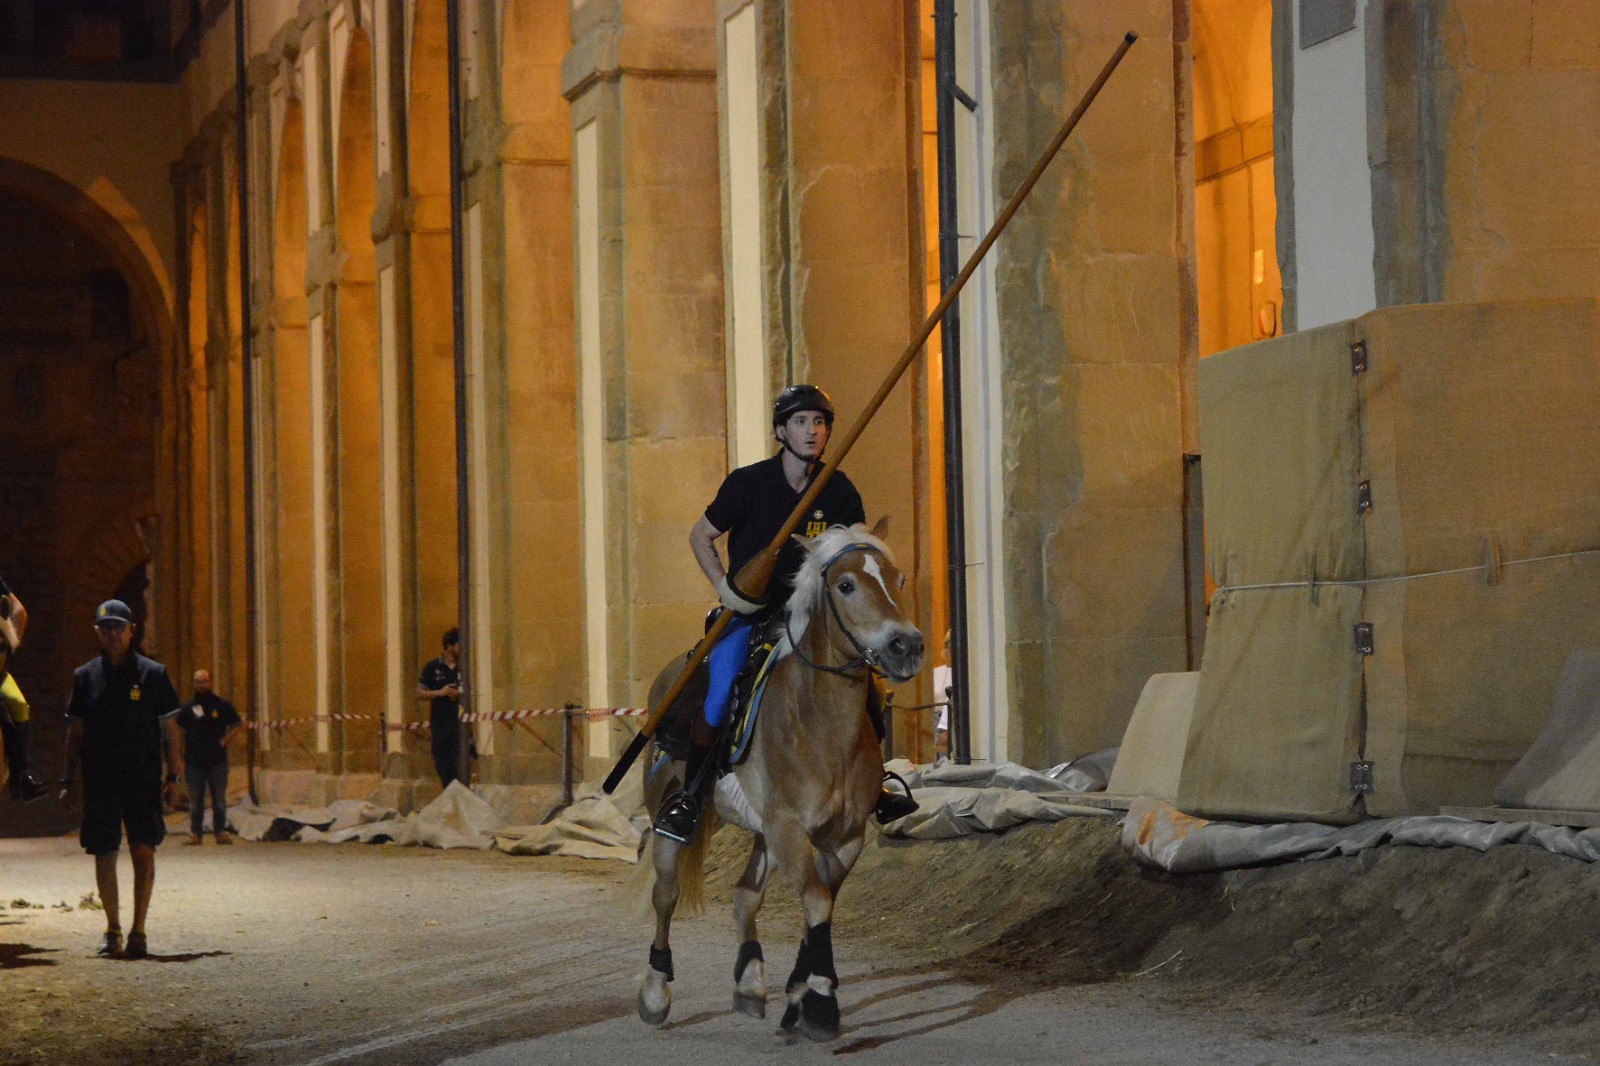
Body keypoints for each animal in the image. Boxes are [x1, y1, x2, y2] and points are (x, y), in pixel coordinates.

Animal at [630, 521, 921, 1037]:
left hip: (763, 831)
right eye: (846, 585)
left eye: (899, 579)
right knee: (666, 895)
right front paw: (820, 1001)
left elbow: (821, 902)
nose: (905, 646)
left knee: (745, 896)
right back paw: (655, 990)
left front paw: (801, 992)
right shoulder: (788, 828)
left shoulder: (843, 837)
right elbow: (817, 901)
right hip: (668, 814)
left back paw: (749, 980)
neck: (821, 723)